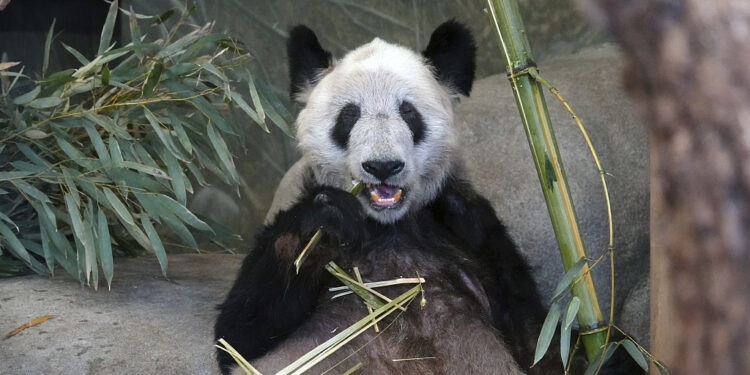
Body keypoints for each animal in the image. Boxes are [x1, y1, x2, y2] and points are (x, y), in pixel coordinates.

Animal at [213, 21, 640, 375]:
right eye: (349, 116)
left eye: (408, 113)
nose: (382, 166)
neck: (386, 226)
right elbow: (240, 333)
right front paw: (325, 220)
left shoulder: (472, 234)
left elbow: (540, 343)